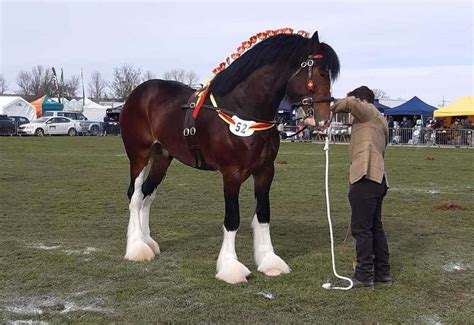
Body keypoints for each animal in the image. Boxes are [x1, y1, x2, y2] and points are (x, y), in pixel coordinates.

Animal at [120, 31, 338, 284]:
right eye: (321, 73)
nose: (324, 119)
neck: (243, 110)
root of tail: (137, 93)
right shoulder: (231, 174)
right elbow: (232, 218)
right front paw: (231, 267)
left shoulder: (265, 171)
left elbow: (263, 214)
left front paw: (269, 261)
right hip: (139, 154)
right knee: (135, 196)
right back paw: (137, 248)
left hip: (163, 157)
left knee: (148, 193)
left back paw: (148, 242)